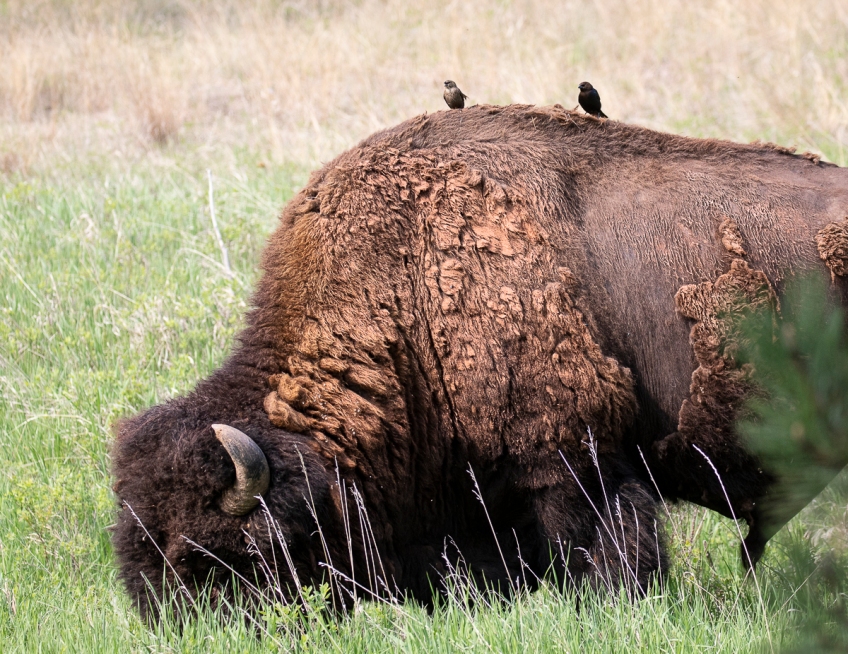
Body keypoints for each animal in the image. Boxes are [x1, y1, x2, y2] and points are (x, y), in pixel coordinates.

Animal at [112, 104, 848, 620]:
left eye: (227, 557)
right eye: (140, 561)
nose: (184, 627)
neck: (404, 284)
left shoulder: (570, 463)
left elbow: (608, 549)